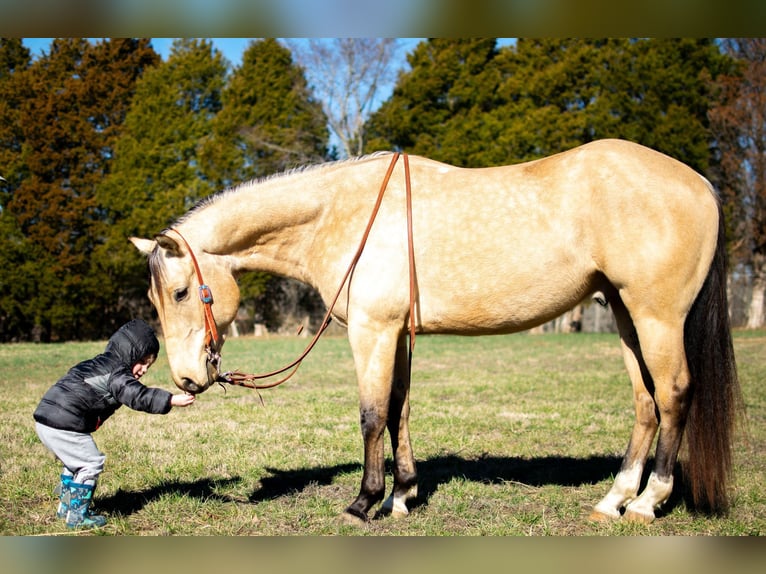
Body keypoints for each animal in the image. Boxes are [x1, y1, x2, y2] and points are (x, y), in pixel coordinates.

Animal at [129, 140, 740, 528]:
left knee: (674, 395)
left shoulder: (372, 332)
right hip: (623, 314)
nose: (187, 378)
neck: (339, 214)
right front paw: (403, 495)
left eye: (180, 293)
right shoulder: (397, 333)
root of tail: (700, 183)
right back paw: (614, 499)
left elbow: (372, 415)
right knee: (645, 402)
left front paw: (364, 502)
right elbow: (399, 409)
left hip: (656, 316)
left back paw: (647, 503)